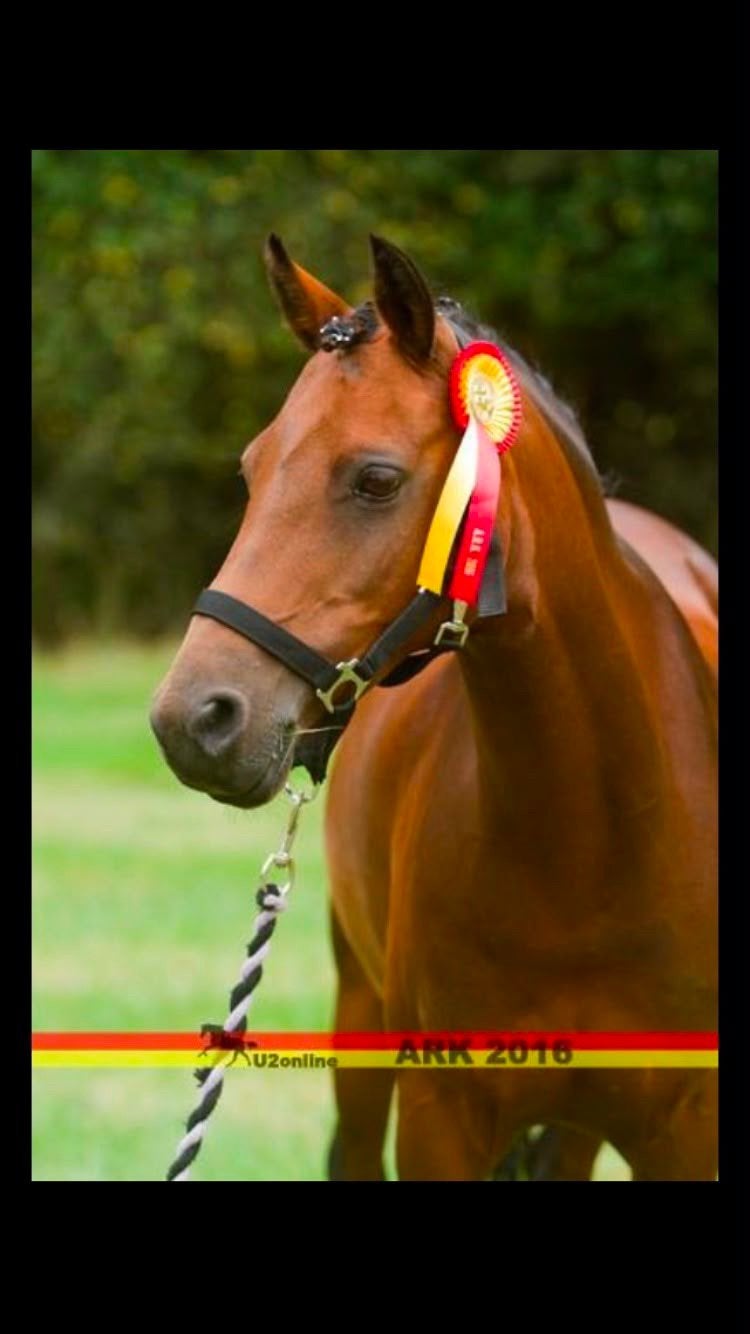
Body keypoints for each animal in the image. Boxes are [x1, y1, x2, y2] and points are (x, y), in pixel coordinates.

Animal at [150, 234, 717, 1181]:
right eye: (252, 470)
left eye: (377, 479)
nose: (194, 722)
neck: (596, 844)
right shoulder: (437, 1115)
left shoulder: (683, 1129)